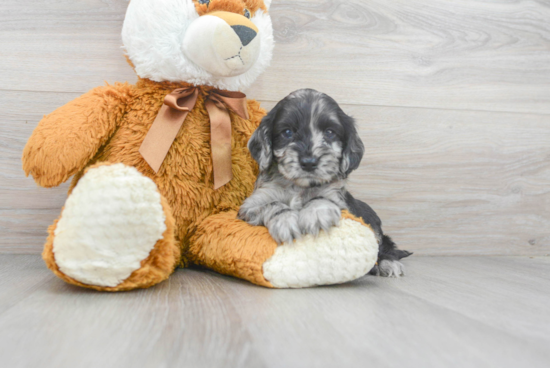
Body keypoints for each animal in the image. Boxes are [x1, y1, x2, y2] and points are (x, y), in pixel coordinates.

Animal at [239, 88, 412, 276]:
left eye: (329, 132)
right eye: (287, 132)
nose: (309, 162)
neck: (299, 187)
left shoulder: (339, 202)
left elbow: (322, 198)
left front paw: (317, 213)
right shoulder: (249, 206)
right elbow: (272, 204)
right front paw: (285, 220)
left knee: (383, 247)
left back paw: (388, 263)